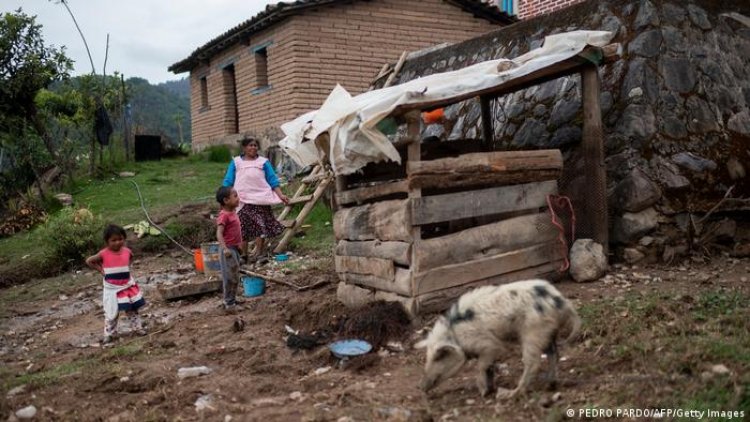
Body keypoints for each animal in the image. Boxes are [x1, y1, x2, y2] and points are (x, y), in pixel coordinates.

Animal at [418, 278, 580, 400]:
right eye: (427, 356)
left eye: (438, 357)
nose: (421, 387)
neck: (454, 334)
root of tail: (561, 301)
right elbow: (489, 368)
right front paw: (490, 389)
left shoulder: (488, 345)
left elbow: (481, 366)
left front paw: (483, 393)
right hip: (548, 332)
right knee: (554, 354)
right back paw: (550, 385)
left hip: (533, 332)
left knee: (533, 363)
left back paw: (510, 394)